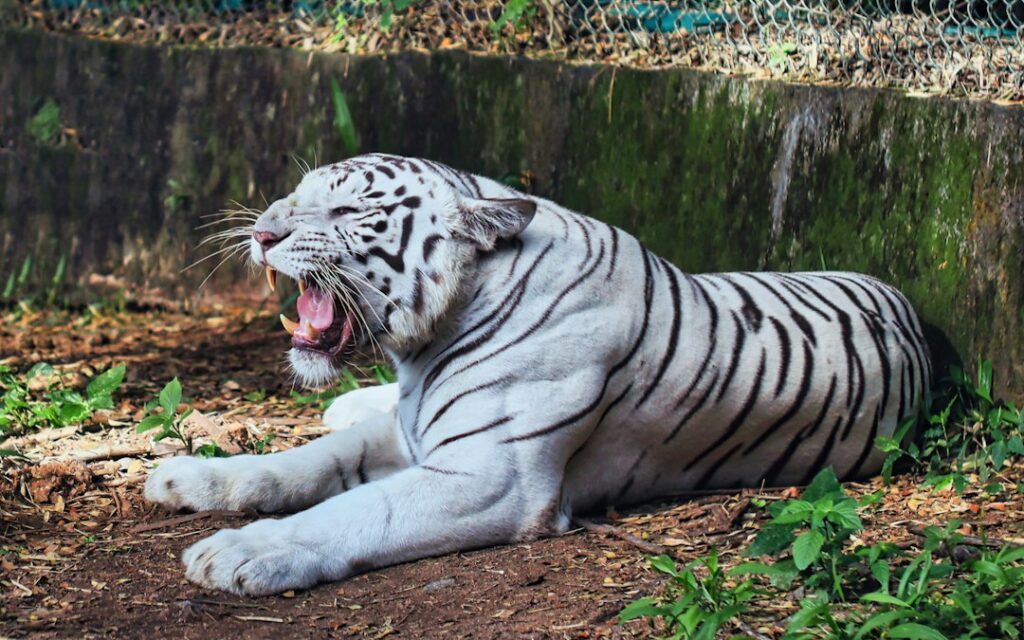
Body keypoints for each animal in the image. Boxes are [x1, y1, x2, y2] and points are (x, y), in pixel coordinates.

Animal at [144, 153, 931, 595]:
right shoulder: (407, 432)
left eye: (348, 207)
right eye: (295, 193)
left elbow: (354, 510)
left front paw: (242, 551)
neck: (429, 341)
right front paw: (189, 478)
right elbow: (300, 464)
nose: (261, 232)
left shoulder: (491, 477)